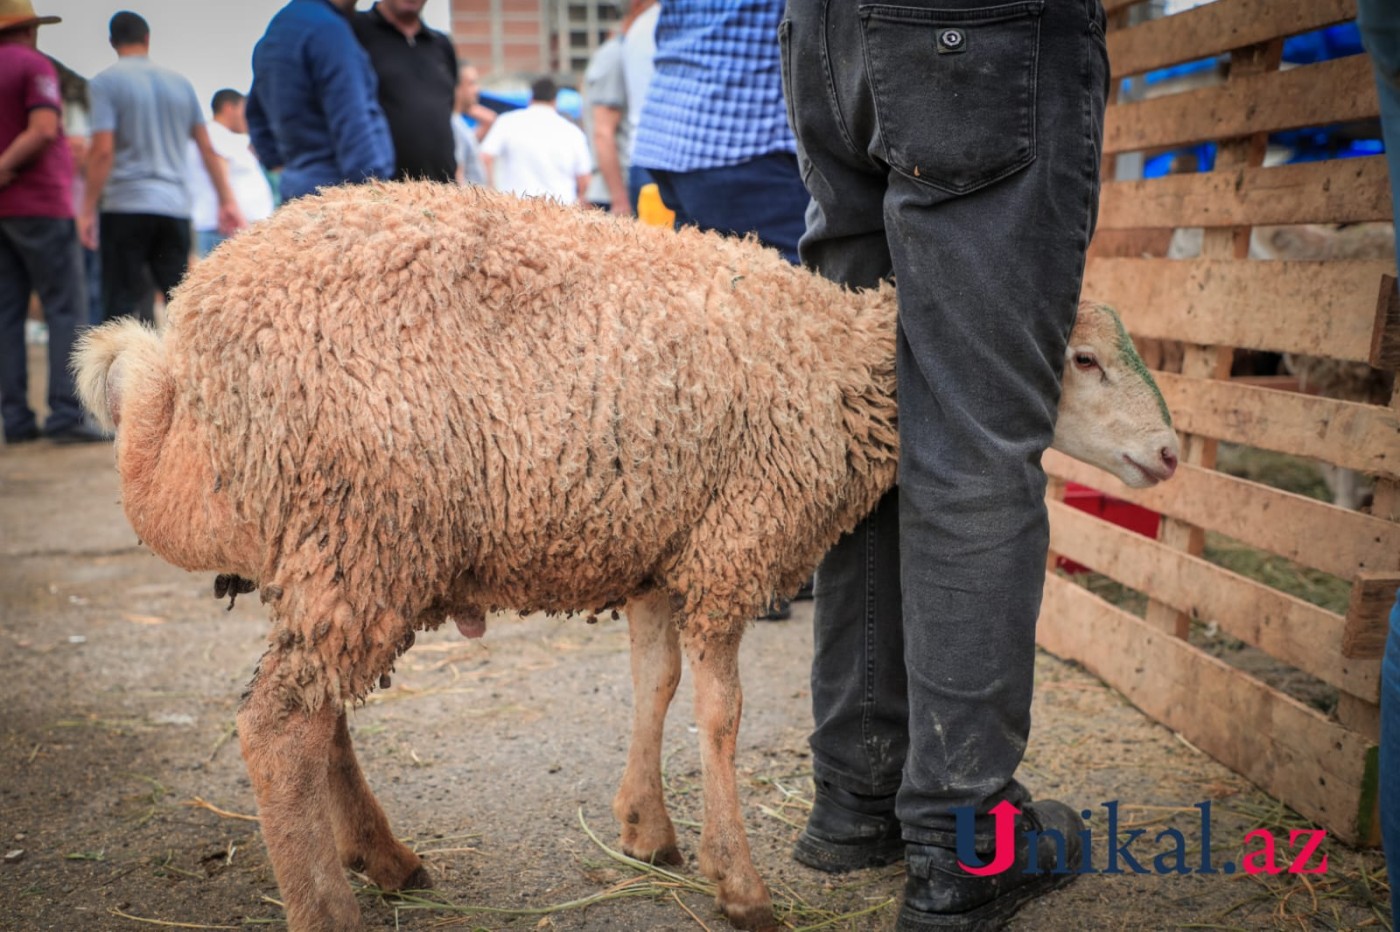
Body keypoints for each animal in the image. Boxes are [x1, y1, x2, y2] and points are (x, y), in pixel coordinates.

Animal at [79, 177, 1181, 923]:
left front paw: (646, 830)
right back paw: (331, 906)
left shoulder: (663, 545)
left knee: (318, 714)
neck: (835, 366)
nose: (1172, 453)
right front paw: (738, 883)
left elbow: (653, 682)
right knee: (278, 726)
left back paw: (384, 859)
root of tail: (193, 321)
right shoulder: (738, 539)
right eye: (1080, 360)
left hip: (335, 548)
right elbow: (722, 713)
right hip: (366, 527)